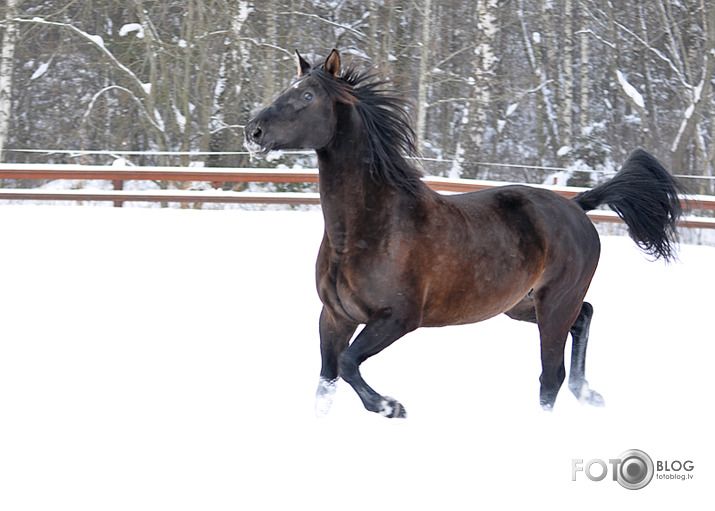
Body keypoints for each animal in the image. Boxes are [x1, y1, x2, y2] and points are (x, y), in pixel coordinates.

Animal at [245, 49, 684, 420]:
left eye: (307, 95)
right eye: (288, 88)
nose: (253, 130)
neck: (365, 231)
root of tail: (576, 206)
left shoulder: (398, 318)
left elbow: (349, 364)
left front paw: (390, 406)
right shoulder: (334, 317)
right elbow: (327, 382)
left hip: (555, 303)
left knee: (551, 376)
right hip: (521, 304)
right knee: (585, 318)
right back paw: (589, 393)